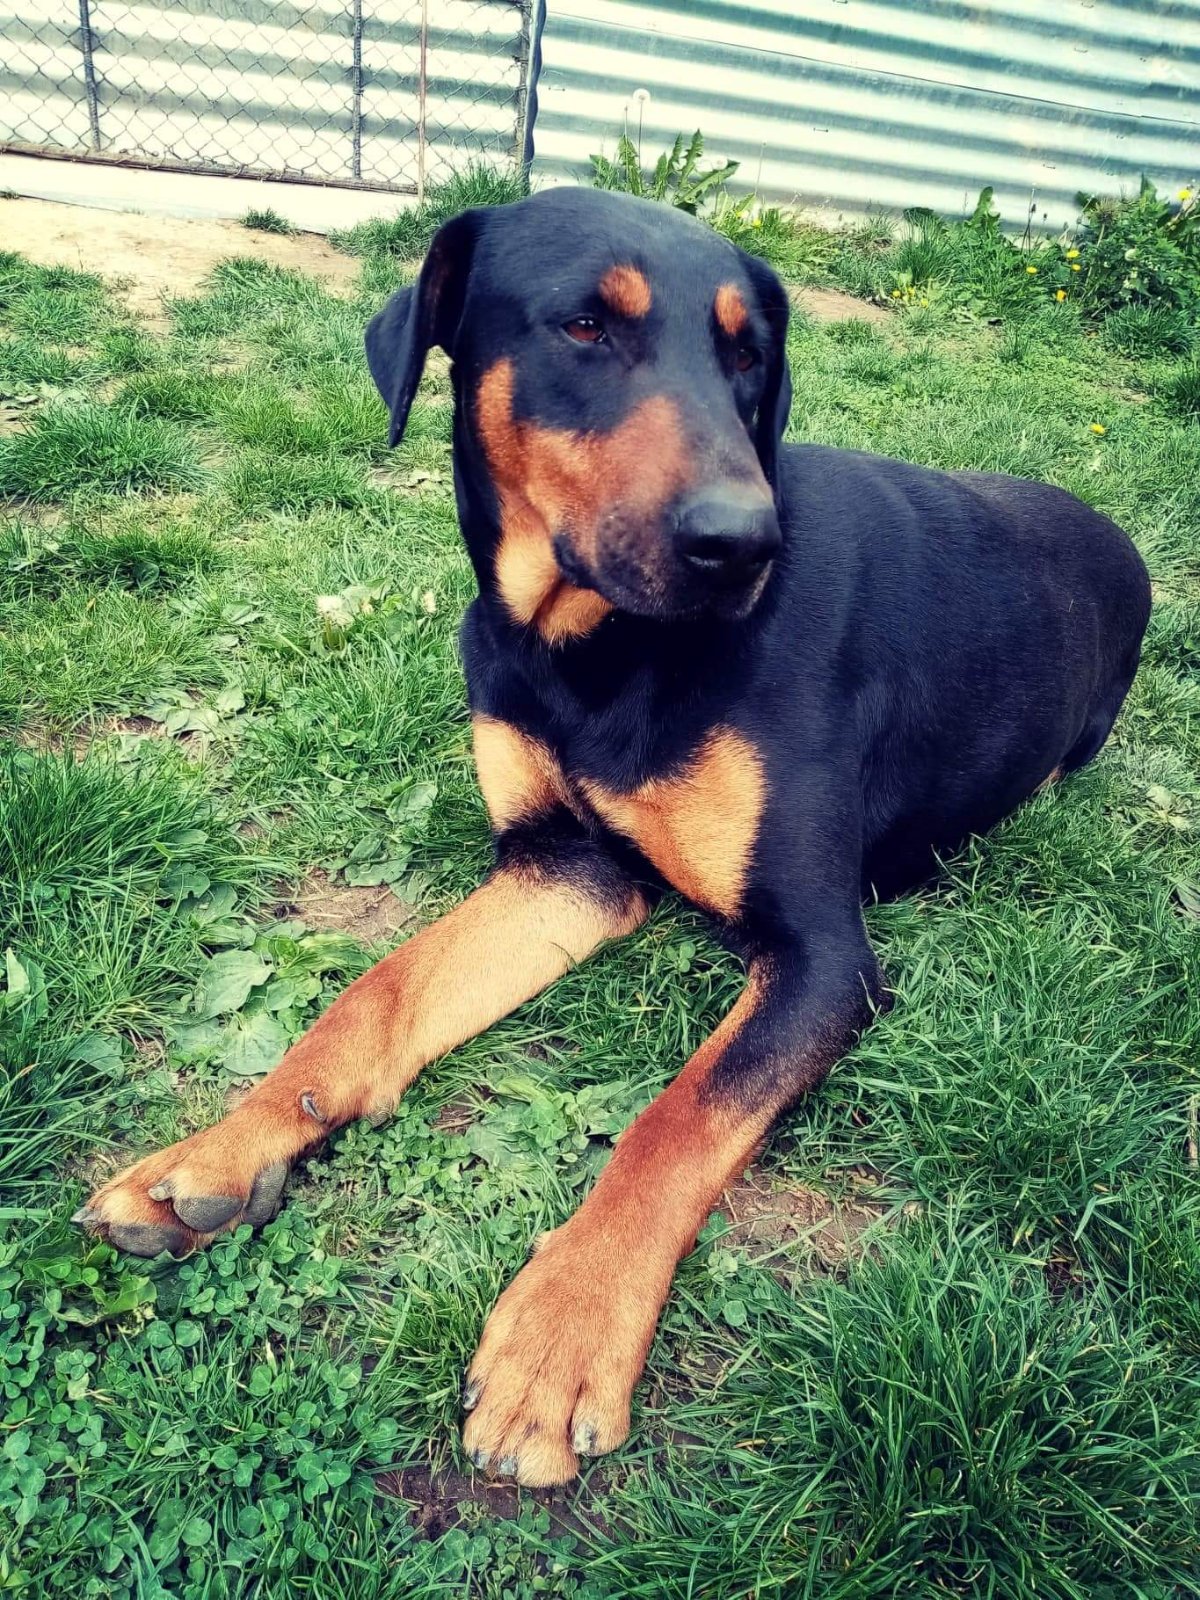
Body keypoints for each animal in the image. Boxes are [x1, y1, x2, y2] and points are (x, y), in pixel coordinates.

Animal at [77, 187, 1151, 1487]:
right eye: (586, 324)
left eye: (749, 353)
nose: (743, 545)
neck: (590, 650)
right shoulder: (564, 869)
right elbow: (373, 997)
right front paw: (217, 1151)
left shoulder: (824, 955)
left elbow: (675, 1119)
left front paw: (562, 1335)